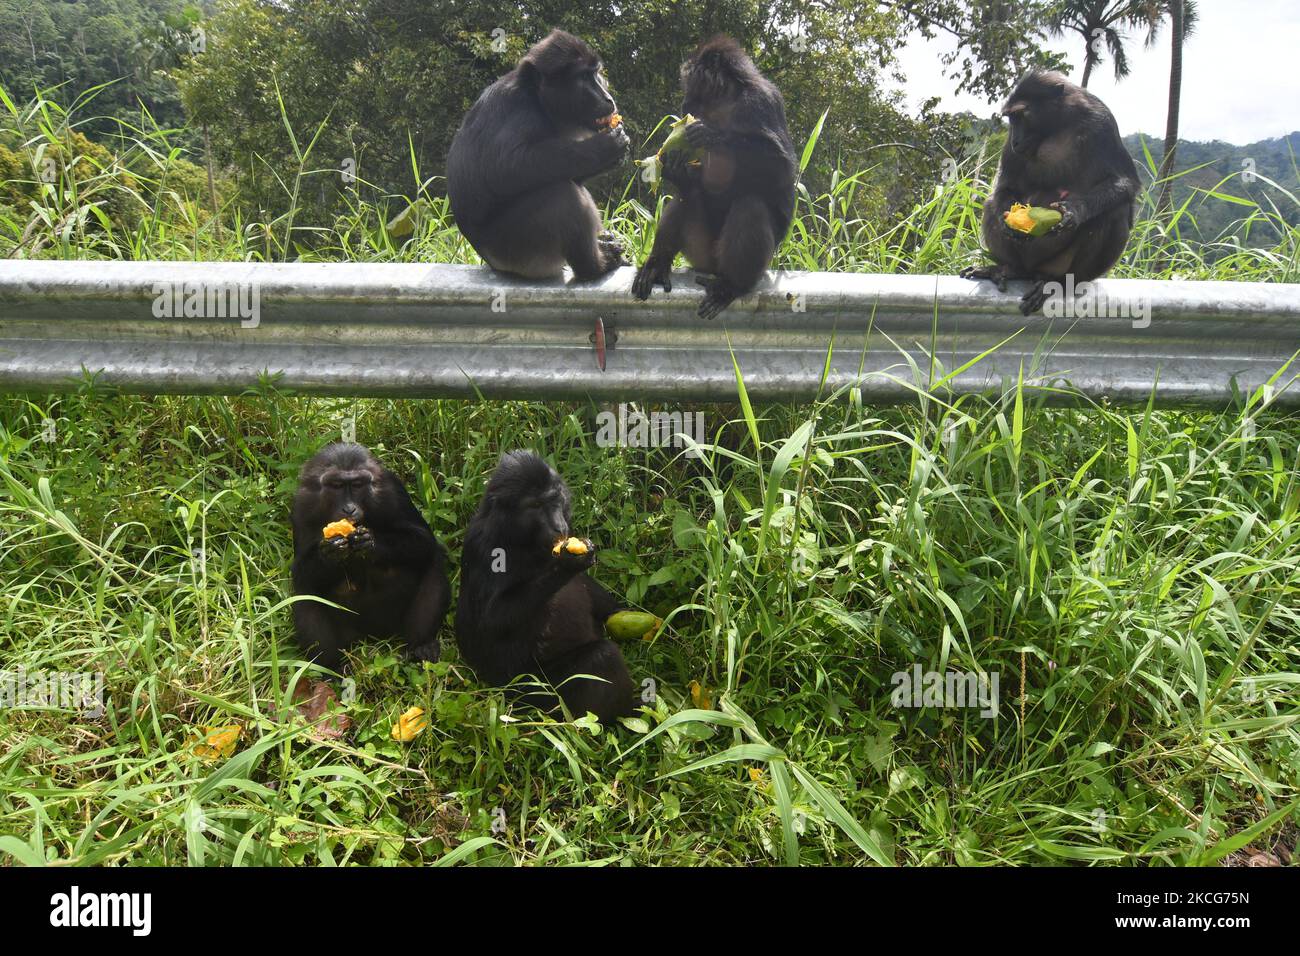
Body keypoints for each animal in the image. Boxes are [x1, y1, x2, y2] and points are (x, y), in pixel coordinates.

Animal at [290, 443, 450, 672]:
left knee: (432, 562)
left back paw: (422, 645)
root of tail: (374, 637)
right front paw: (330, 551)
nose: (349, 508)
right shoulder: (302, 506)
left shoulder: (392, 491)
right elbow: (300, 570)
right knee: (305, 591)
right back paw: (329, 668)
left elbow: (423, 540)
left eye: (357, 484)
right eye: (337, 485)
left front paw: (370, 542)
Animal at [446, 29, 630, 281]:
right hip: (520, 249)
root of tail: (492, 262)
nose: (608, 98)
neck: (540, 101)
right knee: (561, 195)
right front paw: (605, 148)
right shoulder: (520, 109)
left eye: (596, 74)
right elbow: (503, 169)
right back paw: (593, 267)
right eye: (584, 77)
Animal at [454, 450, 637, 722]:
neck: (520, 537)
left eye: (555, 500)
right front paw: (568, 563)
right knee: (602, 657)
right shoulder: (483, 546)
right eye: (536, 506)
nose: (559, 526)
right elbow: (491, 622)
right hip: (534, 696)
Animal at [632, 35, 797, 320]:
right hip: (700, 252)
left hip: (734, 260)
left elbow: (782, 168)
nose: (685, 103)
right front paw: (675, 167)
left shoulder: (760, 100)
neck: (726, 102)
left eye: (692, 87)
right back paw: (657, 265)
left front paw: (712, 135)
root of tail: (713, 266)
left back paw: (731, 285)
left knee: (751, 204)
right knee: (687, 196)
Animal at [961, 70, 1139, 315]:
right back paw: (1009, 269)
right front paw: (1008, 222)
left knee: (1116, 211)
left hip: (1056, 263)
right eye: (1011, 119)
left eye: (1021, 115)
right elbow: (1006, 186)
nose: (1015, 140)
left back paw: (1059, 283)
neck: (1057, 125)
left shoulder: (1102, 122)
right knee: (991, 203)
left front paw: (1075, 210)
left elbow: (1126, 181)